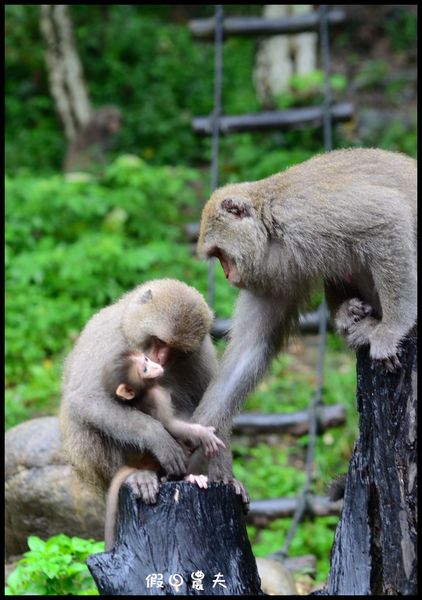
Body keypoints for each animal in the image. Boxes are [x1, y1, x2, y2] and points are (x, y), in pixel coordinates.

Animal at [190, 149, 418, 482]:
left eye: (220, 254)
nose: (228, 275)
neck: (270, 229)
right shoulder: (270, 277)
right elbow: (250, 349)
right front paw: (202, 433)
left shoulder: (302, 216)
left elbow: (387, 219)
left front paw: (392, 328)